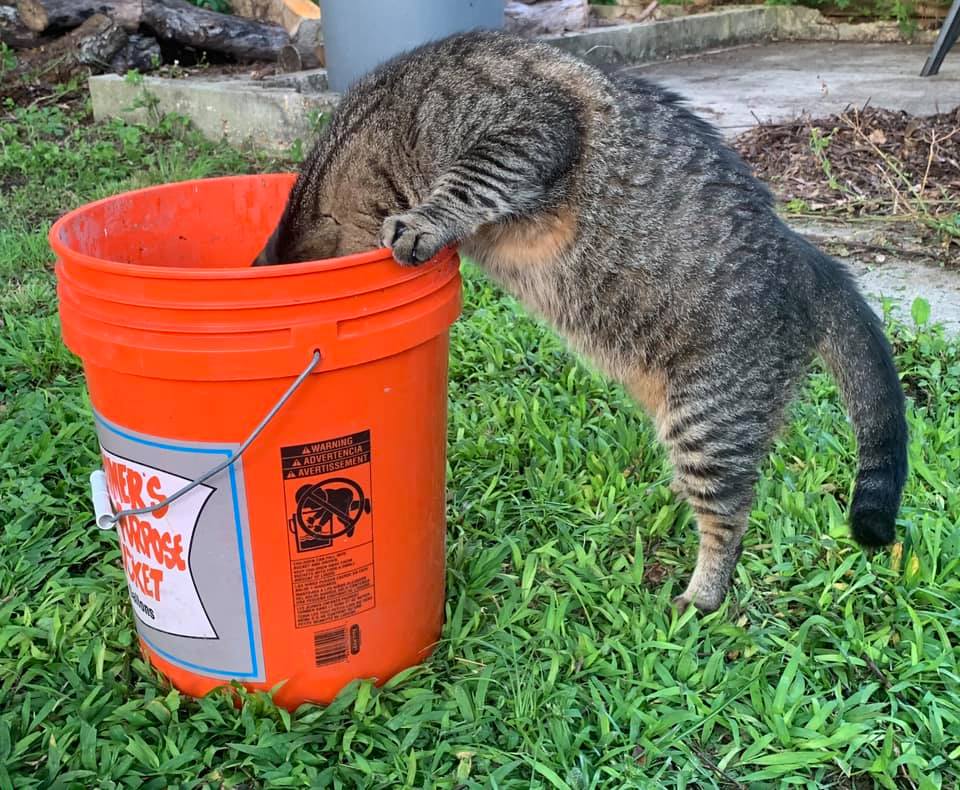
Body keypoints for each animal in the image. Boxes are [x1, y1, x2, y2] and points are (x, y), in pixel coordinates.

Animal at [251, 31, 904, 616]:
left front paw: (421, 223)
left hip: (709, 421)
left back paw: (701, 598)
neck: (378, 127)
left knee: (731, 518)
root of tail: (810, 259)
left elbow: (467, 183)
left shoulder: (527, 126)